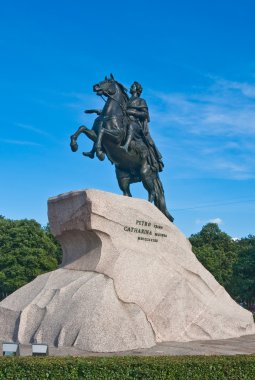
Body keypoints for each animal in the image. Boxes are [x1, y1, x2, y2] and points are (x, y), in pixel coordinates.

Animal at [69, 75, 173, 223]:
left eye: (108, 82)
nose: (95, 86)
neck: (109, 116)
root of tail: (156, 168)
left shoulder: (115, 137)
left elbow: (102, 132)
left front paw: (99, 152)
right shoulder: (94, 134)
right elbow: (83, 128)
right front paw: (76, 146)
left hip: (145, 174)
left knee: (152, 193)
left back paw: (149, 209)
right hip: (123, 178)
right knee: (127, 193)